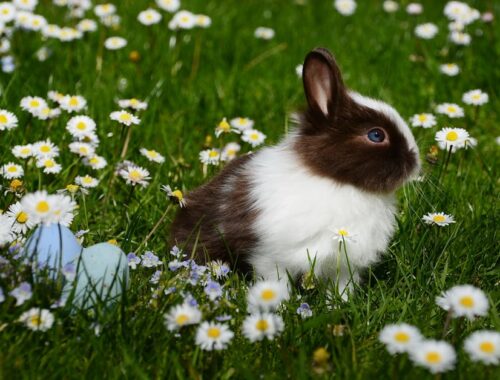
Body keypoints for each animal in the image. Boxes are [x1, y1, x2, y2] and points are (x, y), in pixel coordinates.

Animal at [171, 47, 418, 296]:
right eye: (376, 135)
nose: (415, 162)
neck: (335, 180)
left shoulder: (345, 266)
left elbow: (342, 287)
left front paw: (340, 302)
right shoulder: (270, 257)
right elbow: (275, 281)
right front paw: (277, 302)